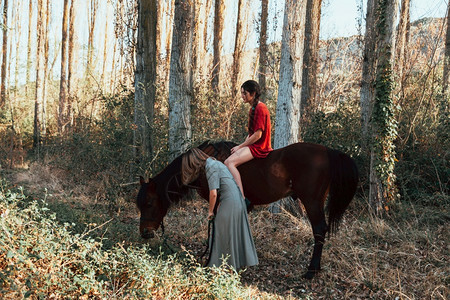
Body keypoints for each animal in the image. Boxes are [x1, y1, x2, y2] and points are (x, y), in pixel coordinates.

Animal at [137, 141, 358, 278]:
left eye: (148, 203)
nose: (145, 233)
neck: (203, 163)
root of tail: (328, 152)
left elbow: (215, 226)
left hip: (311, 202)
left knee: (319, 230)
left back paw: (311, 270)